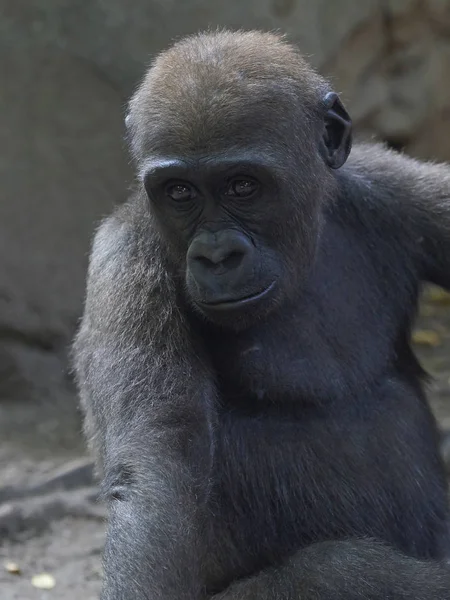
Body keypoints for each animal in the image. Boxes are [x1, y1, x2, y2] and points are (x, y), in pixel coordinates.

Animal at [72, 29, 450, 600]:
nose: (216, 255)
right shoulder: (126, 259)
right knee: (337, 570)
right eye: (180, 192)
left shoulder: (389, 185)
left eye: (242, 185)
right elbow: (153, 473)